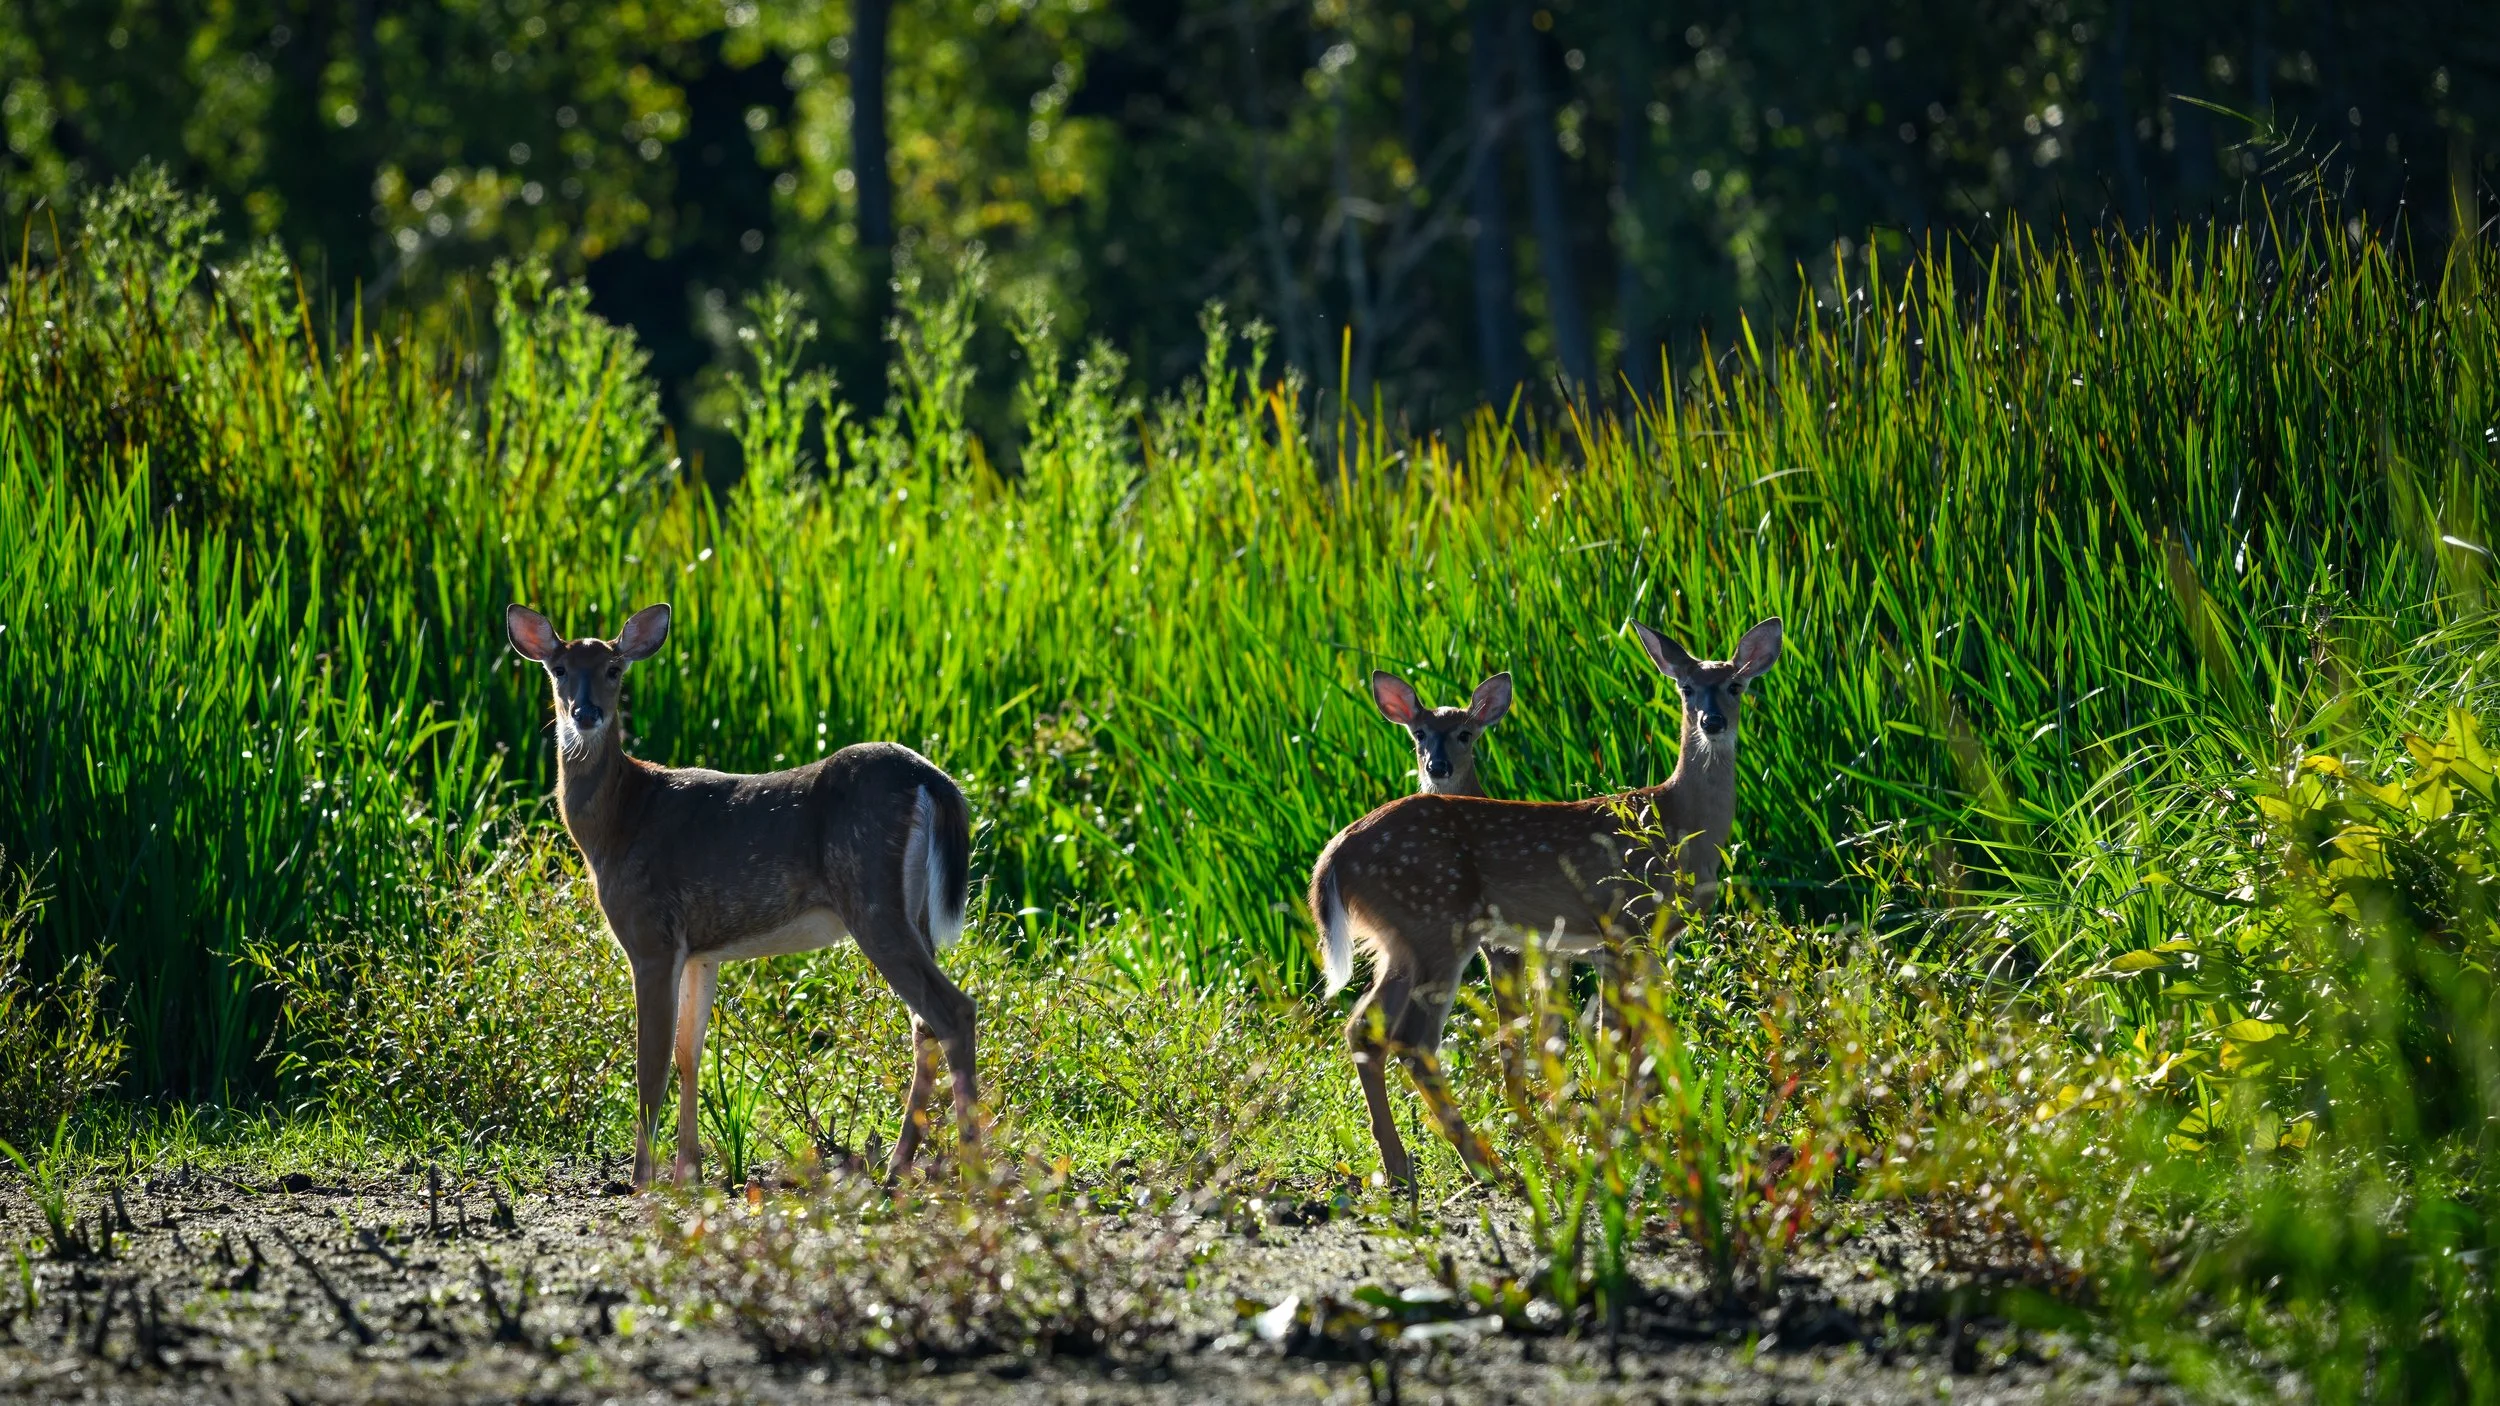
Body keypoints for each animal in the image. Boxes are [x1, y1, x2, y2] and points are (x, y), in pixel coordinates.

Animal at [505, 602, 980, 1190]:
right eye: (560, 669)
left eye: (614, 669)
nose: (586, 712)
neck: (618, 821)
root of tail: (932, 779)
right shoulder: (699, 951)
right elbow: (688, 1054)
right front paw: (688, 1171)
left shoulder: (650, 935)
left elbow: (650, 1062)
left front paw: (642, 1179)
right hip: (914, 911)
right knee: (924, 1023)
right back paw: (899, 1165)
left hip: (872, 897)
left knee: (953, 1009)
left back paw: (971, 1165)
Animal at [1308, 617, 1782, 1189]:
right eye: (1686, 688)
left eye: (1736, 684)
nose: (1712, 721)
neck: (1679, 826)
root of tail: (1333, 855)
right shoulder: (1622, 927)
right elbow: (1617, 1038)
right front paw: (1618, 1134)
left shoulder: (1644, 943)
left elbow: (1639, 1037)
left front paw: (1645, 1128)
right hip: (1436, 923)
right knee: (1414, 1040)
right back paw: (1487, 1164)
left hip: (1400, 941)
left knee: (1363, 1027)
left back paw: (1403, 1168)